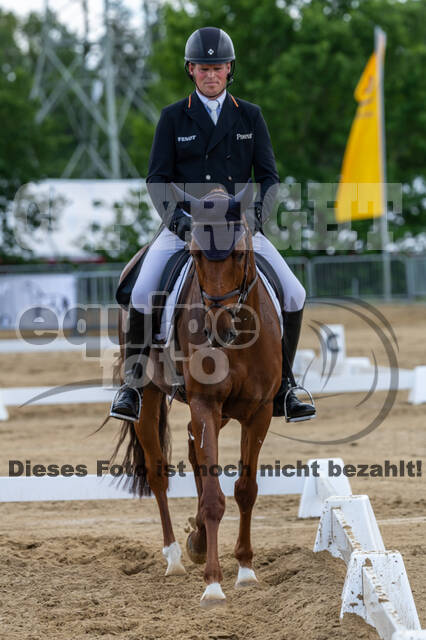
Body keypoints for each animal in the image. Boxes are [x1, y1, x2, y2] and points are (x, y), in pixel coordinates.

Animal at [108, 183, 282, 608]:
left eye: (239, 253)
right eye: (196, 254)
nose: (218, 328)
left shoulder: (259, 412)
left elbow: (245, 490)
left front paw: (246, 570)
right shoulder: (206, 403)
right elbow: (214, 497)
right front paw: (214, 584)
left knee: (193, 451)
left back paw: (198, 540)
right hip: (151, 396)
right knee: (158, 472)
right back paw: (174, 557)